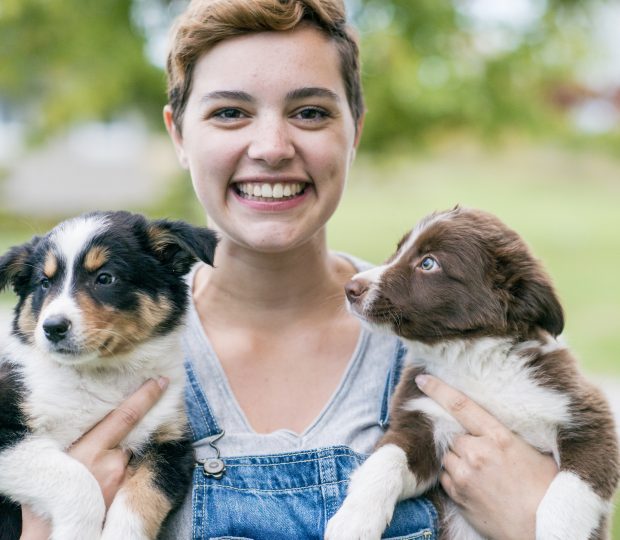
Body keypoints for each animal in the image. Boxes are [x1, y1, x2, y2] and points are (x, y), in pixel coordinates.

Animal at [0, 211, 218, 540]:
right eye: (44, 283)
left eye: (104, 278)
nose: (52, 328)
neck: (101, 375)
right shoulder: (7, 431)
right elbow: (77, 480)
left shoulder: (171, 444)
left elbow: (143, 497)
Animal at [326, 207, 616, 540]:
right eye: (399, 250)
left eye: (428, 263)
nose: (350, 288)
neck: (473, 359)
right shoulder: (422, 419)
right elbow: (386, 459)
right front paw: (353, 519)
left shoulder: (584, 415)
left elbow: (570, 490)